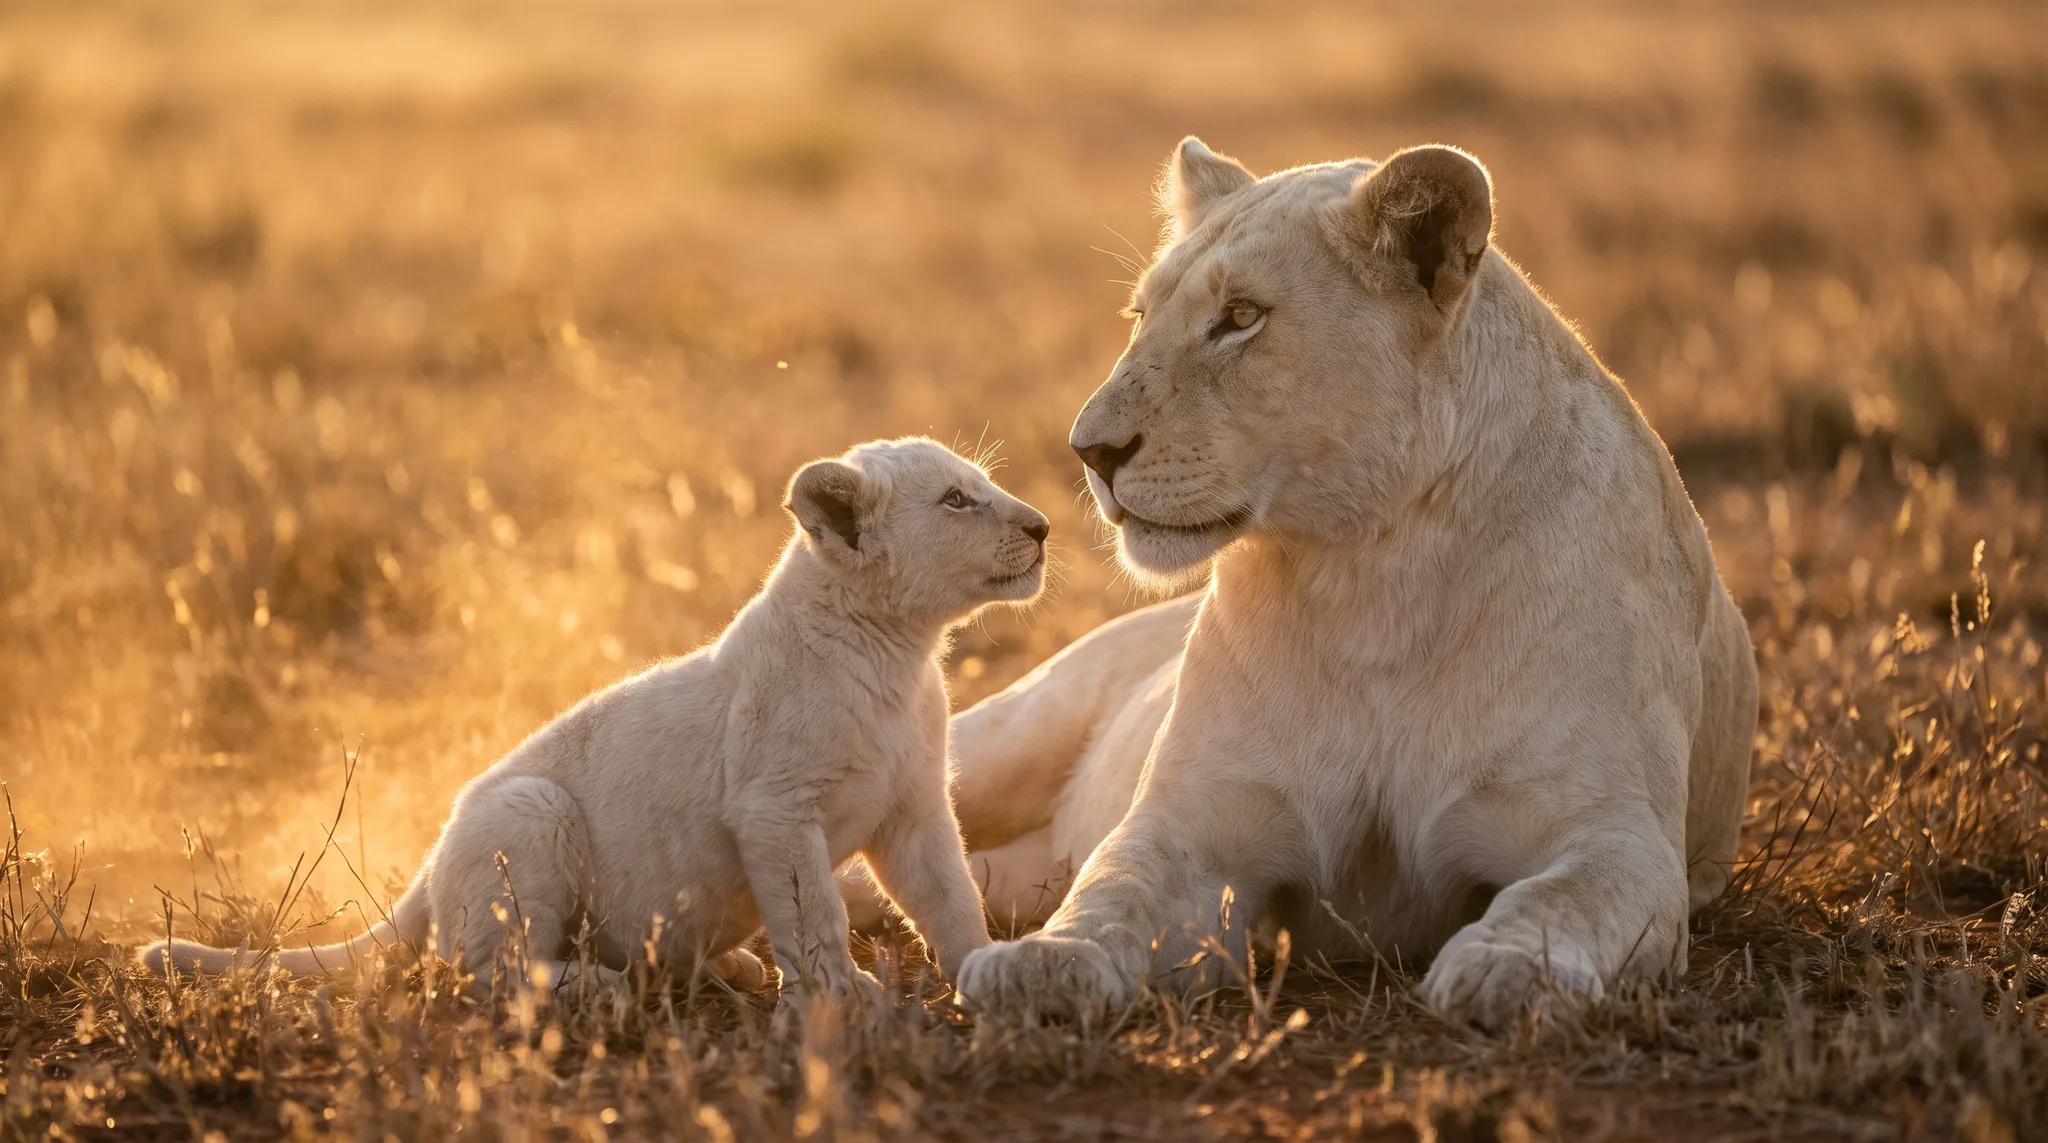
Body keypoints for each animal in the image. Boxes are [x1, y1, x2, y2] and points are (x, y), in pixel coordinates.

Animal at [144, 438, 1049, 1005]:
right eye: (956, 499)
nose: (1041, 525)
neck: (895, 652)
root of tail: (429, 871)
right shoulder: (774, 807)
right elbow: (814, 912)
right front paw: (839, 994)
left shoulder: (915, 806)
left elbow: (950, 895)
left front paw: (986, 971)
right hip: (528, 812)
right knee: (488, 973)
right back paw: (608, 985)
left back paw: (726, 964)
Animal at [942, 140, 1757, 1028]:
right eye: (1139, 316)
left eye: (1241, 318)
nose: (1089, 450)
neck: (1370, 577)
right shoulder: (1197, 827)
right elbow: (1113, 889)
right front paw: (1042, 965)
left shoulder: (1618, 831)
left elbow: (1563, 898)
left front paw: (1507, 969)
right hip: (1003, 739)